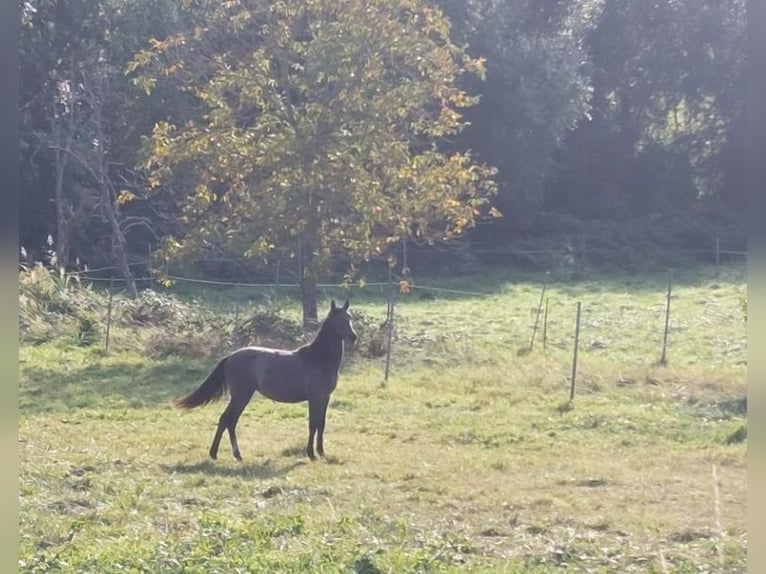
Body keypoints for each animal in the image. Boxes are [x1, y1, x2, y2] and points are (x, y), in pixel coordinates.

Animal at [177, 302, 360, 464]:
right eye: (338, 319)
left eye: (349, 318)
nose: (353, 337)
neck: (317, 359)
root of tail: (230, 357)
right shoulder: (314, 399)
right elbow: (312, 425)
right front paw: (311, 454)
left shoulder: (324, 398)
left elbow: (321, 425)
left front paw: (321, 453)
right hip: (241, 396)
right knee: (226, 420)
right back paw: (218, 454)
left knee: (230, 422)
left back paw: (234, 455)